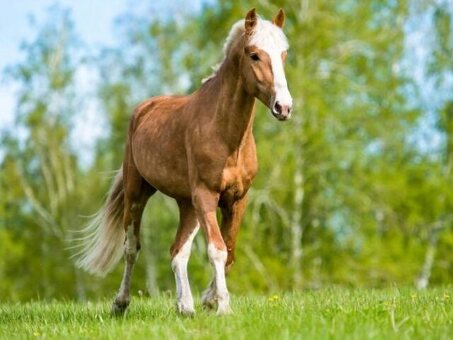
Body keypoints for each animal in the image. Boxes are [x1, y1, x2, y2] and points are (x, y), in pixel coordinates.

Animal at [75, 7, 292, 316]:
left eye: (284, 54)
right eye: (254, 54)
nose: (283, 107)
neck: (227, 137)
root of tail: (143, 109)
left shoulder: (238, 199)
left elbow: (229, 250)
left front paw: (209, 300)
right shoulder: (206, 195)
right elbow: (217, 249)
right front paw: (223, 306)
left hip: (187, 204)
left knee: (178, 251)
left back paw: (185, 305)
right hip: (138, 193)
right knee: (131, 248)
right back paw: (121, 303)